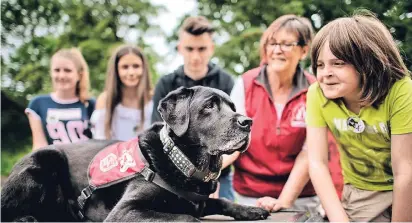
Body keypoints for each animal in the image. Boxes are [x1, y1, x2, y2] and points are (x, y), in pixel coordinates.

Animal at [0, 86, 270, 221]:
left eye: (233, 107)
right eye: (209, 106)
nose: (248, 122)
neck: (180, 161)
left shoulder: (199, 201)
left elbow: (221, 201)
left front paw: (249, 210)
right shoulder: (126, 210)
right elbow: (186, 218)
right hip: (43, 161)